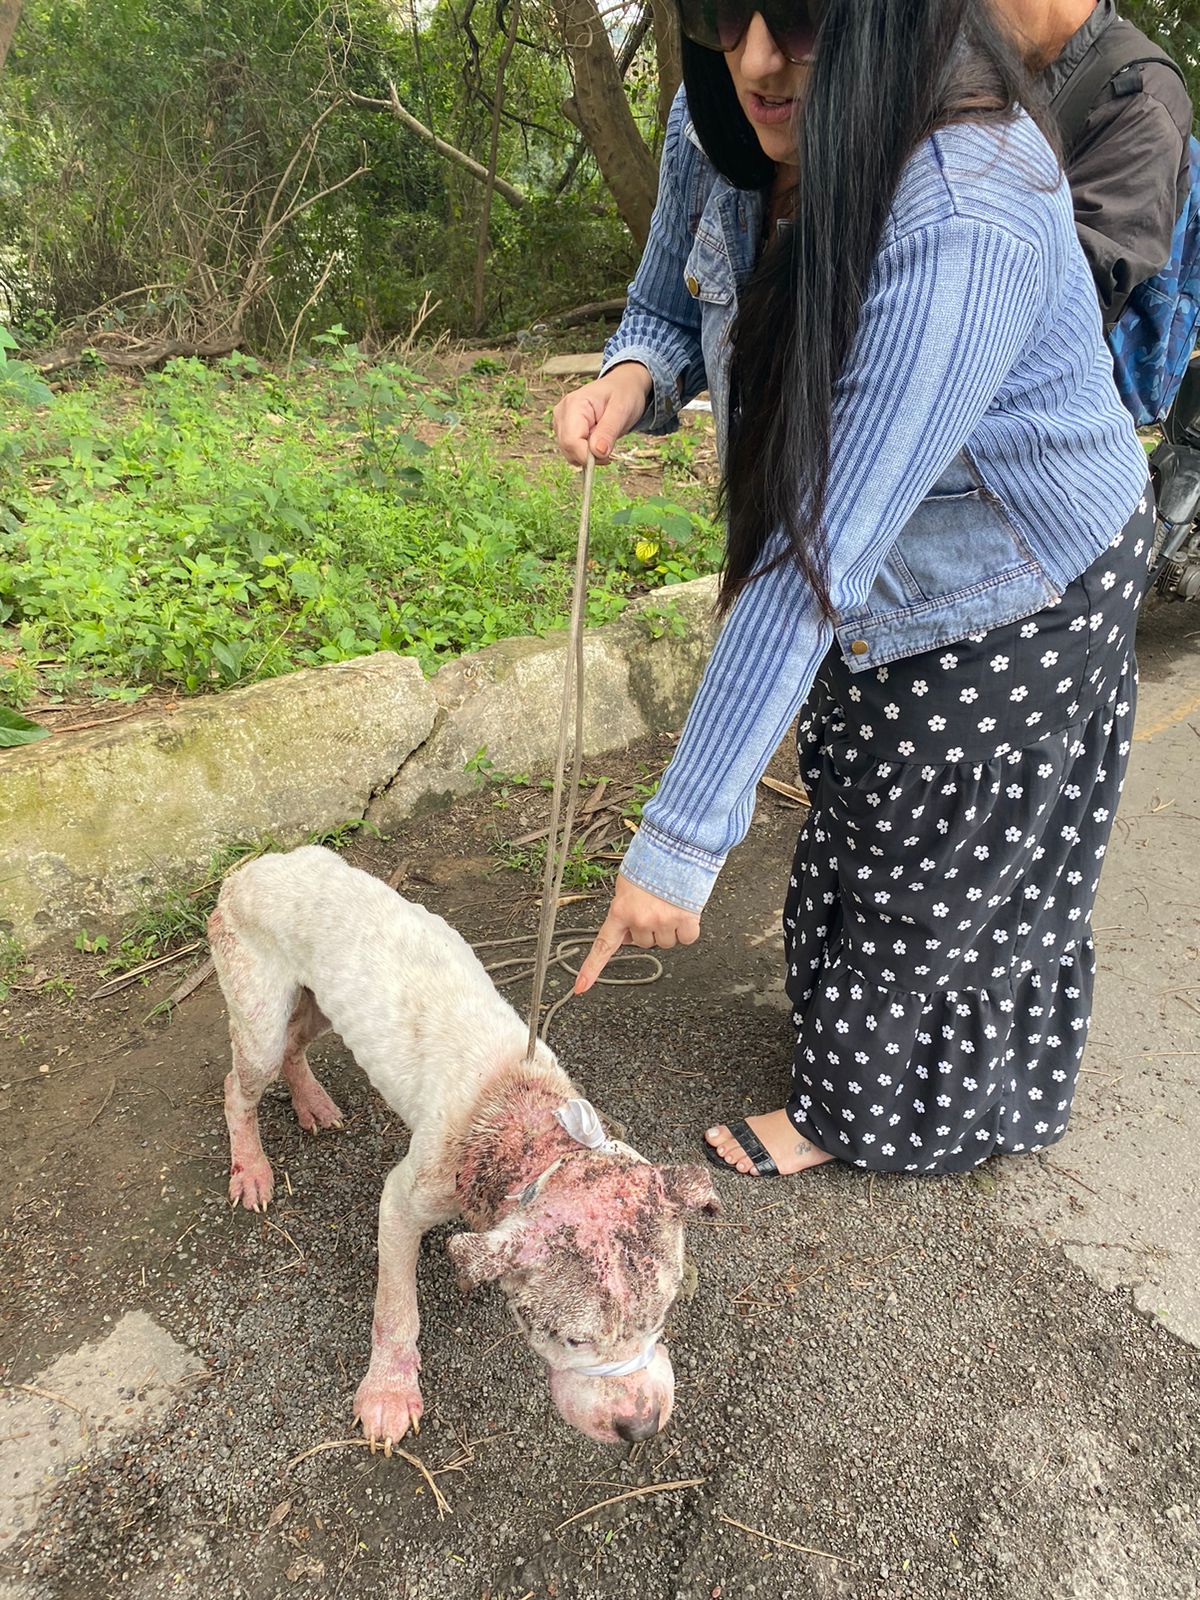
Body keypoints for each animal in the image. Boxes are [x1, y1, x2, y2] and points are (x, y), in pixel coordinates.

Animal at [206, 851, 720, 1452]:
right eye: (570, 1339)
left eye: (663, 1311)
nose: (640, 1428)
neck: (528, 1117)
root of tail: (252, 866)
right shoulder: (403, 1200)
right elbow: (395, 1308)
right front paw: (388, 1394)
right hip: (257, 1007)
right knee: (240, 1083)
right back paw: (252, 1170)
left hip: (319, 1004)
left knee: (294, 1046)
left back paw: (311, 1102)